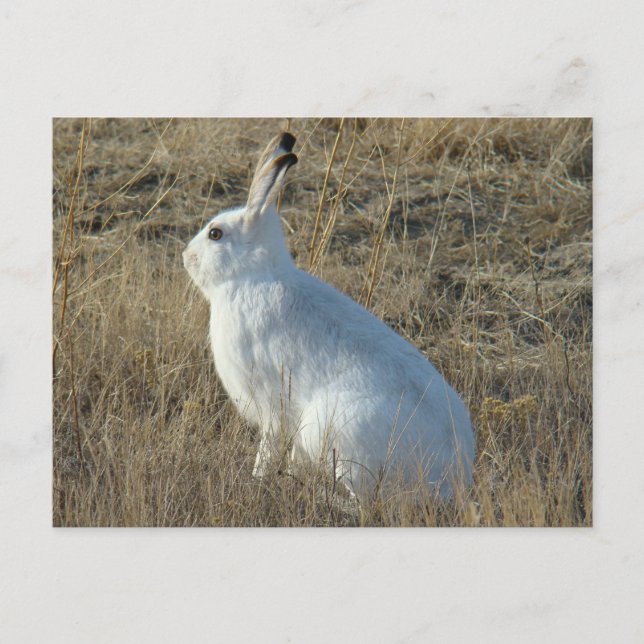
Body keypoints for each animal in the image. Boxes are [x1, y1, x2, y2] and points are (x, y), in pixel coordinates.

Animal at [183, 132, 475, 500]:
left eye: (215, 234)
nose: (185, 256)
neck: (253, 275)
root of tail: (451, 478)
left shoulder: (270, 405)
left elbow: (268, 445)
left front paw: (257, 478)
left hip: (336, 434)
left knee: (363, 503)